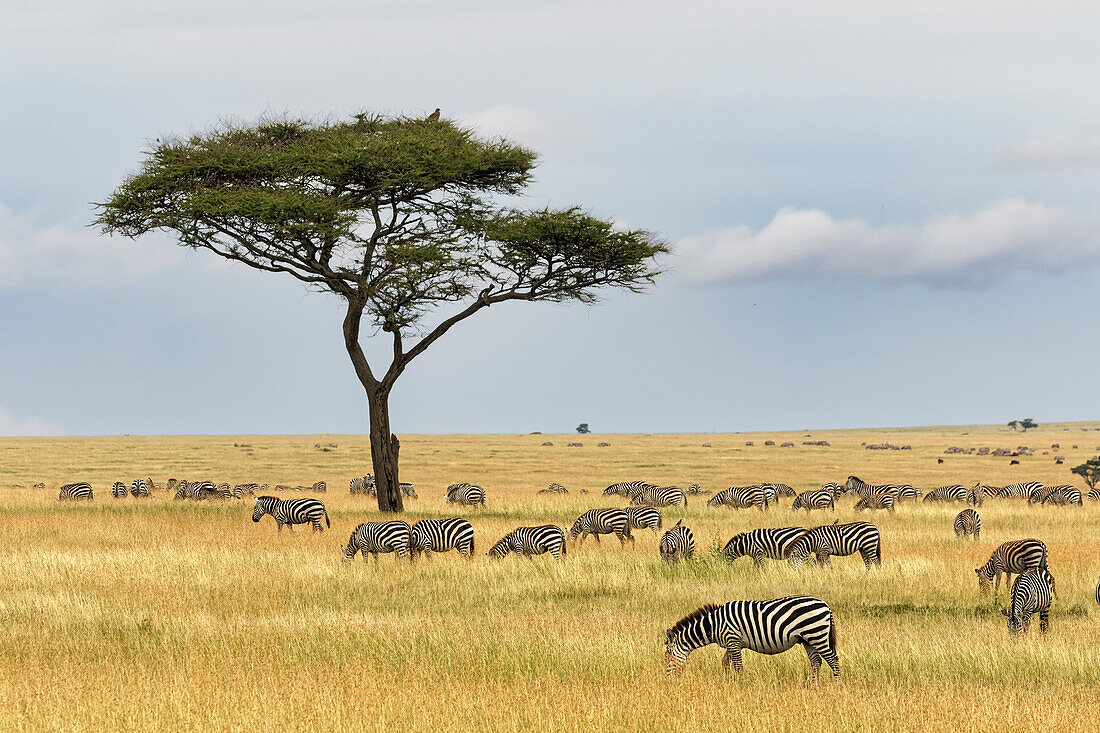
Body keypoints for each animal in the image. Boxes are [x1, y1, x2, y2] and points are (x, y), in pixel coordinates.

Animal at [660, 594, 840, 677]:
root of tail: (825, 605)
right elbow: (725, 662)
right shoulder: (731, 643)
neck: (714, 624)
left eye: (667, 656)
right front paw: (728, 679)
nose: (668, 679)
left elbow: (738, 665)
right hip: (807, 639)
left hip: (817, 635)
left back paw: (837, 684)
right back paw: (813, 685)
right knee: (816, 662)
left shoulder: (733, 639)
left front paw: (740, 683)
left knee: (833, 659)